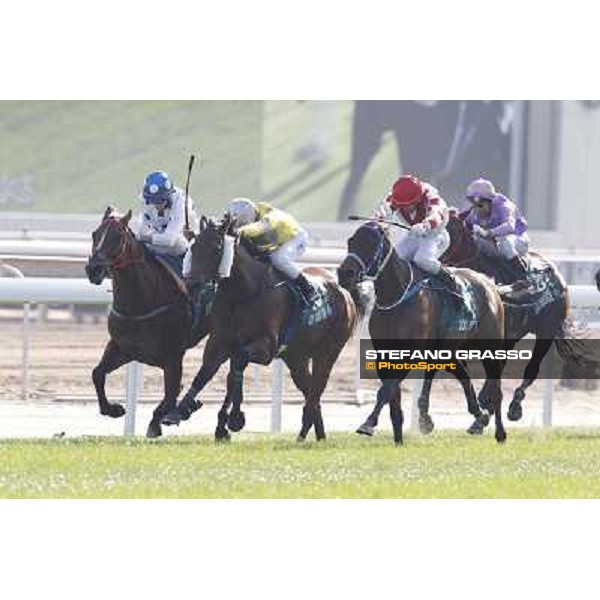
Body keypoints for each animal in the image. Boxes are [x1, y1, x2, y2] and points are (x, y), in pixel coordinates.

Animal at [84, 206, 211, 436]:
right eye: (94, 234)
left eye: (117, 236)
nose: (93, 269)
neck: (140, 304)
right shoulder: (123, 347)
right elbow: (97, 373)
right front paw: (112, 409)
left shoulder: (173, 356)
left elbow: (170, 393)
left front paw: (158, 423)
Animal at [159, 216, 358, 440]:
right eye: (193, 247)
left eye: (216, 248)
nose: (191, 285)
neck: (243, 293)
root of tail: (343, 291)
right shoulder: (219, 342)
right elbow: (207, 373)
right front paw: (180, 411)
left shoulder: (266, 348)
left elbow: (236, 367)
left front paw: (234, 418)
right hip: (296, 358)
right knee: (309, 392)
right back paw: (315, 436)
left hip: (328, 351)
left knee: (317, 390)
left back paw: (306, 433)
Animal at [338, 221, 506, 446]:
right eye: (351, 241)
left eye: (372, 244)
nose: (344, 273)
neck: (397, 295)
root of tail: (489, 283)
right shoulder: (385, 353)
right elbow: (392, 395)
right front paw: (398, 439)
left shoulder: (411, 352)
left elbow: (385, 390)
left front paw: (368, 423)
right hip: (449, 350)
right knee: (463, 375)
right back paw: (477, 416)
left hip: (490, 347)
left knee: (496, 388)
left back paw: (499, 432)